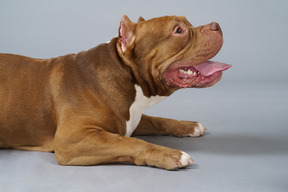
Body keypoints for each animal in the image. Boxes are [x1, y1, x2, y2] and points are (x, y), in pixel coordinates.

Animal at [0, 16, 230, 170]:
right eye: (179, 31)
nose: (216, 25)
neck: (125, 74)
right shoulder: (72, 139)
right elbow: (128, 142)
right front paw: (169, 154)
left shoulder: (130, 117)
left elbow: (158, 120)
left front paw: (188, 126)